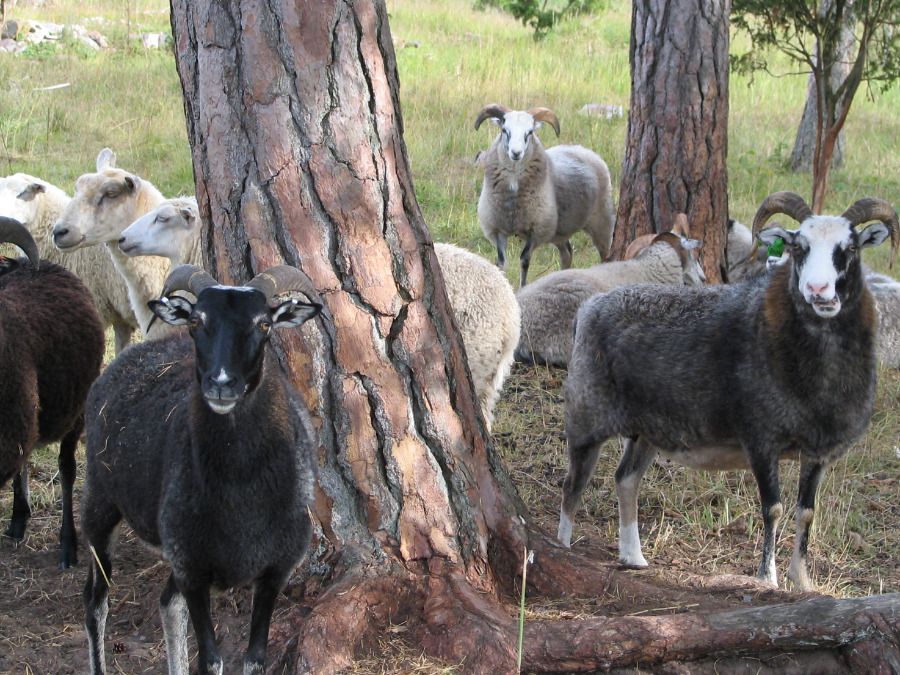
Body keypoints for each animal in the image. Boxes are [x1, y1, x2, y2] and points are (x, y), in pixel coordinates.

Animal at [82, 264, 326, 675]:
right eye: (196, 320)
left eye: (264, 323)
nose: (222, 384)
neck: (242, 490)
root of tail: (138, 351)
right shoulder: (192, 571)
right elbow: (211, 661)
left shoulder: (275, 571)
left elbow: (254, 660)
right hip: (101, 503)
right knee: (95, 602)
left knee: (167, 603)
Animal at [474, 104, 616, 288]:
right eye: (504, 130)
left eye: (529, 132)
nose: (516, 153)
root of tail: (581, 148)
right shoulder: (496, 227)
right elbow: (501, 263)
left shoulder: (536, 228)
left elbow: (524, 260)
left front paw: (522, 288)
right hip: (559, 230)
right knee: (567, 253)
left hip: (602, 221)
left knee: (605, 254)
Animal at [557, 192, 898, 590]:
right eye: (798, 247)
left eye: (852, 247)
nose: (818, 291)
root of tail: (590, 308)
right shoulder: (760, 439)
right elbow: (774, 508)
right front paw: (768, 578)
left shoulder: (818, 451)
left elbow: (807, 512)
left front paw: (803, 581)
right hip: (587, 416)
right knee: (573, 486)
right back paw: (563, 546)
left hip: (647, 430)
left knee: (625, 479)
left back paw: (633, 557)